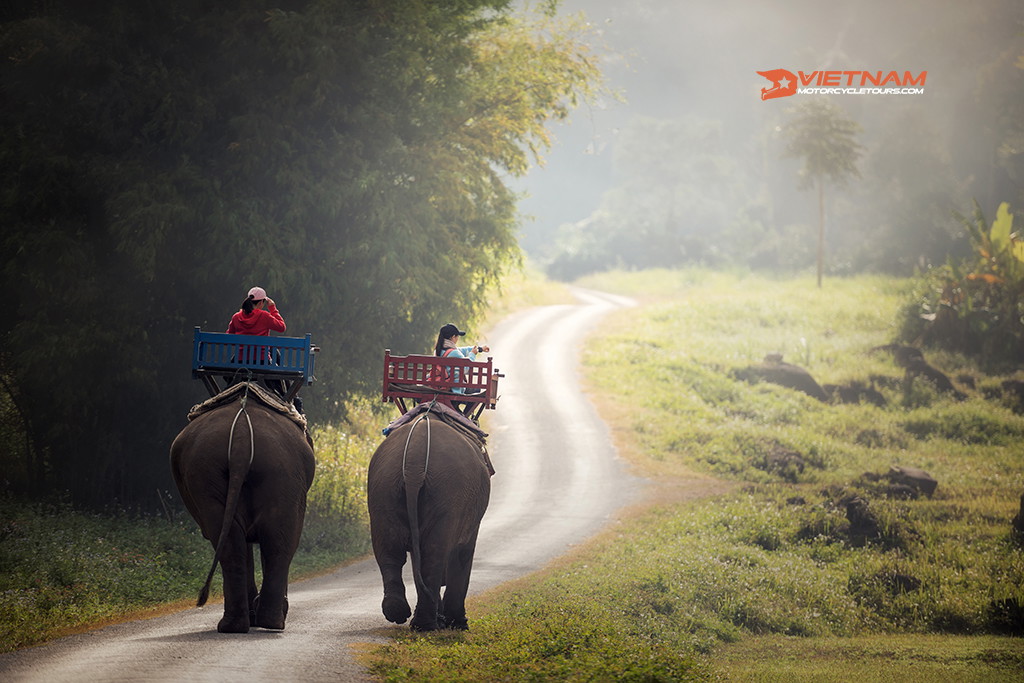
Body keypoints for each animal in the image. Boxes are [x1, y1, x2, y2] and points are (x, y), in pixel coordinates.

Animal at [169, 385, 313, 634]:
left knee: (239, 541)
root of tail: (241, 437)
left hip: (217, 471)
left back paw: (240, 624)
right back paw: (268, 621)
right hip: (280, 472)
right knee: (277, 541)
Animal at [368, 411, 491, 630]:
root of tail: (414, 464)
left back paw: (400, 613)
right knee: (435, 553)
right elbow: (463, 552)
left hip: (383, 488)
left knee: (390, 551)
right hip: (448, 492)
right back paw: (427, 624)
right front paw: (457, 624)